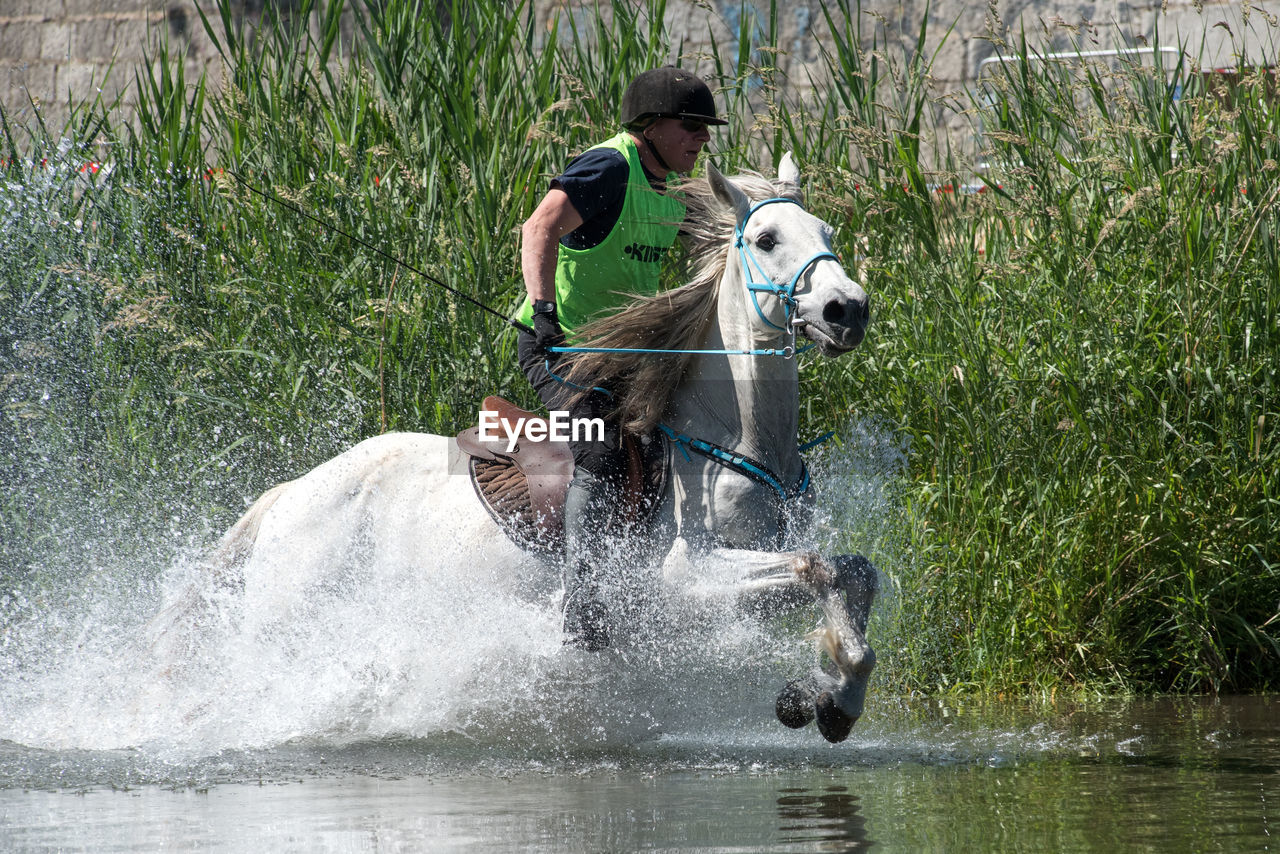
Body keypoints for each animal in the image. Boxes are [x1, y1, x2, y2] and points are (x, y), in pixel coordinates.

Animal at [147, 153, 870, 742]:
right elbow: (817, 569)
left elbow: (853, 571)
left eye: (828, 234)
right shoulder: (683, 584)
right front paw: (827, 690)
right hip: (288, 623)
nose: (847, 310)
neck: (724, 439)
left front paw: (827, 697)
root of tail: (290, 494)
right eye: (767, 240)